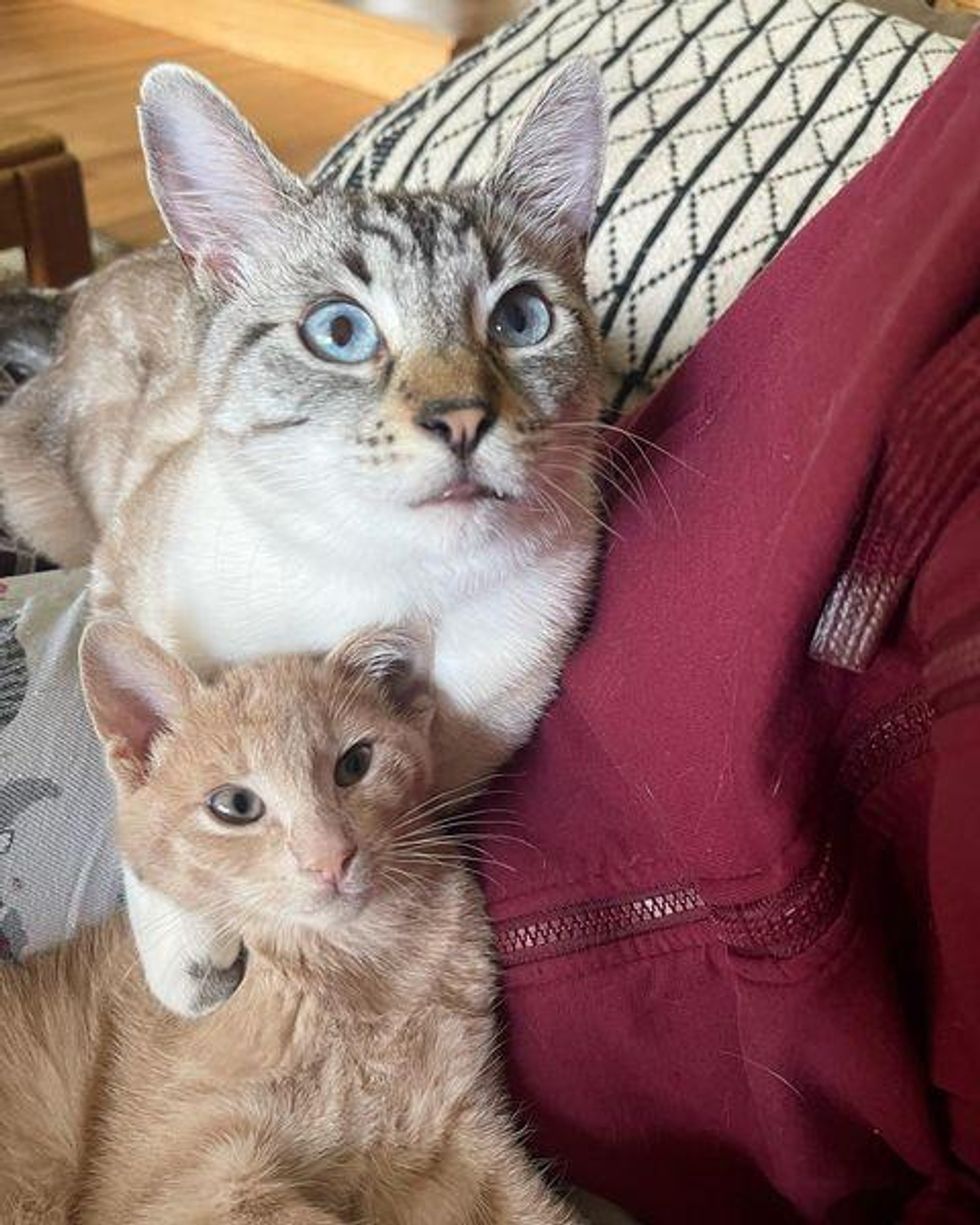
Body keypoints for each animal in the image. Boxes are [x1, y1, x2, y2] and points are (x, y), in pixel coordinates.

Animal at [0, 627, 583, 1220]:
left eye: (355, 763)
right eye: (235, 805)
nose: (332, 858)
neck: (354, 971)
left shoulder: (458, 1130)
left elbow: (535, 1209)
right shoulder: (191, 1186)